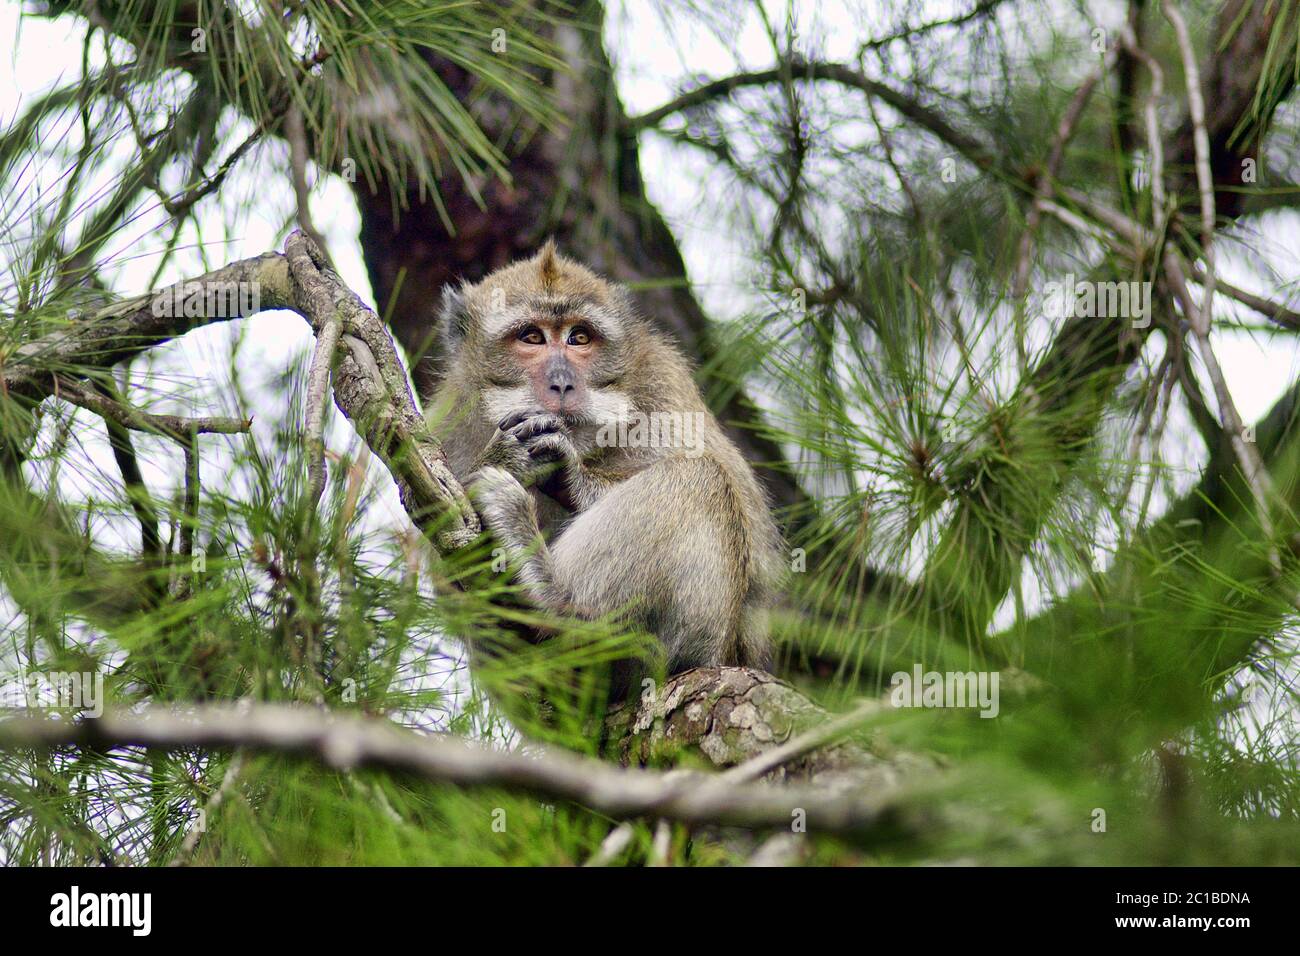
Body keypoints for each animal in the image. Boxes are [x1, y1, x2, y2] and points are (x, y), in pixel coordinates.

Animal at [426, 241, 784, 695]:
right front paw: (505, 457)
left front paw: (567, 475)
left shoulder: (666, 388)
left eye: (579, 337)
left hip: (702, 645)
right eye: (531, 337)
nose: (563, 382)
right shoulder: (447, 424)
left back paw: (555, 601)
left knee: (699, 479)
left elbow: (748, 526)